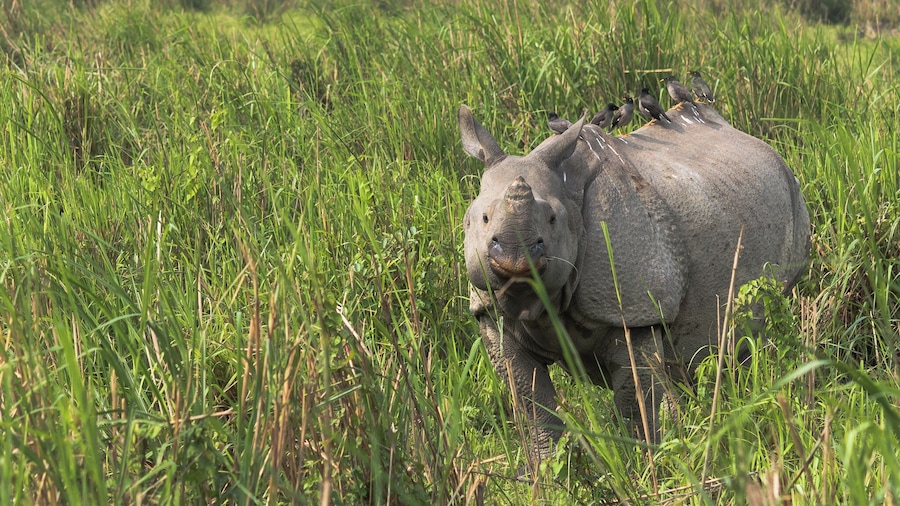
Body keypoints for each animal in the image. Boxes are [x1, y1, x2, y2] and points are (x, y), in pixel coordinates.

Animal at [459, 103, 810, 465]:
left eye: (553, 220)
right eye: (480, 219)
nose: (514, 258)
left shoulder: (633, 309)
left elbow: (633, 398)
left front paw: (644, 465)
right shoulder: (491, 313)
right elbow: (530, 401)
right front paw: (545, 471)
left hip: (789, 195)